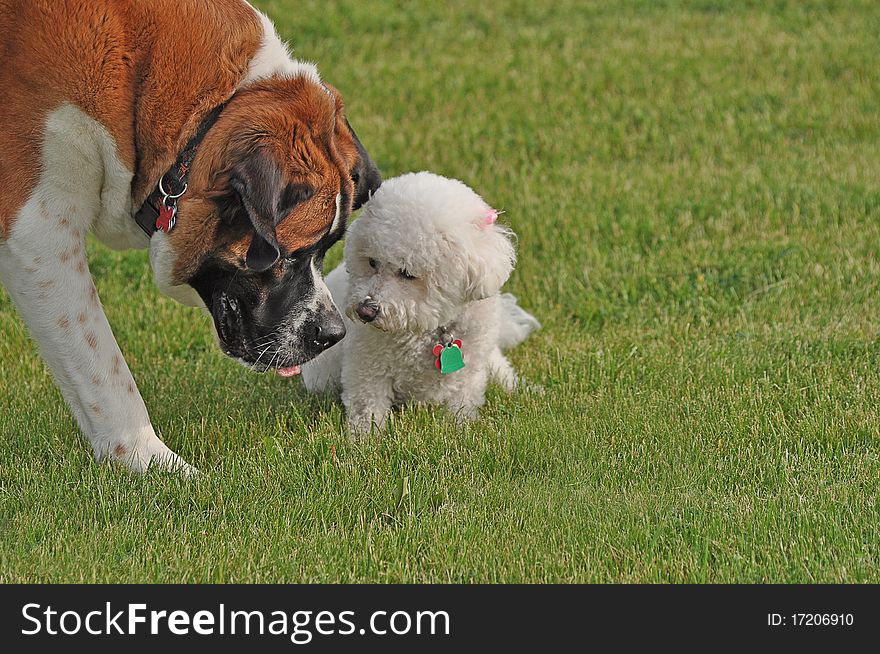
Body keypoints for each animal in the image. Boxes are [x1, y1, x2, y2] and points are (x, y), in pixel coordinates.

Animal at [0, 0, 382, 474]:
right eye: (290, 256)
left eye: (327, 250)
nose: (334, 334)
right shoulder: (39, 229)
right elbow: (102, 366)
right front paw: (156, 466)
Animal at [300, 172, 540, 438]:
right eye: (372, 262)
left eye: (408, 274)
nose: (365, 311)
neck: (431, 327)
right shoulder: (367, 365)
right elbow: (367, 405)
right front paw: (364, 439)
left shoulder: (468, 372)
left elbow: (463, 403)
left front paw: (462, 431)